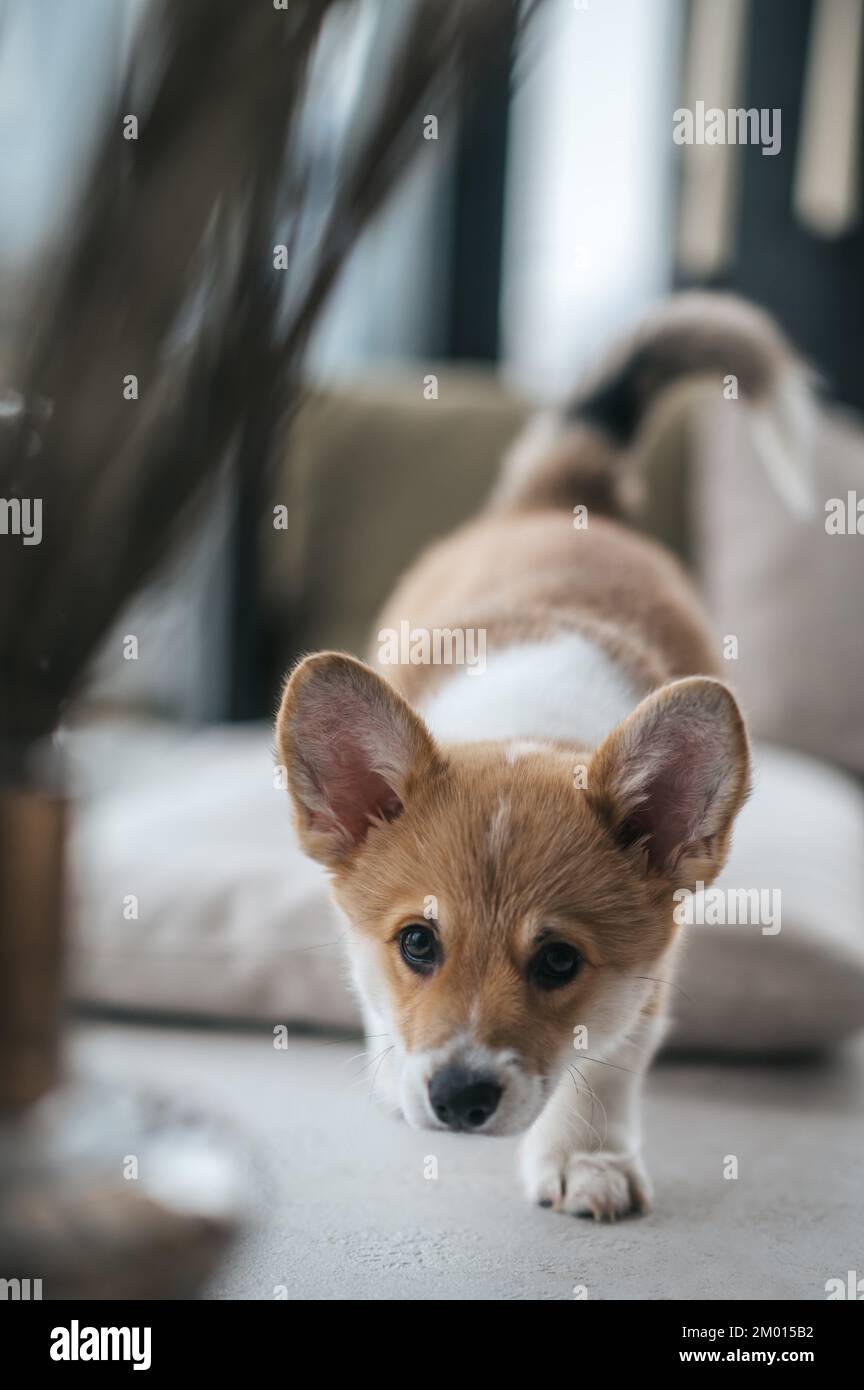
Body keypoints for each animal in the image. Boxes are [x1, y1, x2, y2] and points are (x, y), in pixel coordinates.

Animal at [276, 290, 805, 1217]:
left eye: (559, 960)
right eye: (418, 944)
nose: (458, 1100)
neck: (528, 720)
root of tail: (561, 500)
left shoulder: (647, 976)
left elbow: (607, 1066)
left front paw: (586, 1160)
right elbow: (373, 994)